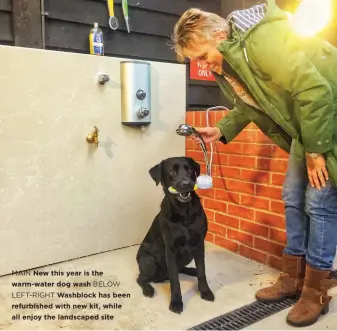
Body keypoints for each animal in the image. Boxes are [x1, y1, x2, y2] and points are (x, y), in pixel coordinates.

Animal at [136, 157, 213, 316]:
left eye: (189, 169)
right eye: (172, 171)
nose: (186, 184)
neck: (184, 214)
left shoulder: (199, 244)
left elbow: (202, 271)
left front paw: (205, 291)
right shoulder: (170, 249)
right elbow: (174, 280)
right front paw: (176, 302)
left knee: (181, 268)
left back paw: (191, 270)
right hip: (148, 260)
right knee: (141, 278)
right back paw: (148, 289)